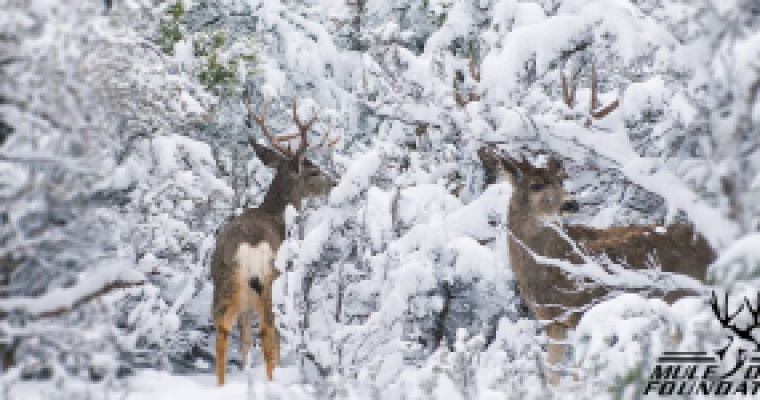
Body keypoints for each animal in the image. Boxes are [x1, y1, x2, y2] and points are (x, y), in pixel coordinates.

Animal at [211, 95, 338, 386]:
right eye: (313, 171)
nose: (336, 182)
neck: (276, 214)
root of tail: (249, 245)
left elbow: (245, 340)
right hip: (270, 282)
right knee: (268, 330)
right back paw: (273, 380)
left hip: (225, 281)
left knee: (224, 328)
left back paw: (222, 385)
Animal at [477, 150, 716, 384]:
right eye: (536, 185)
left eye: (561, 181)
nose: (571, 203)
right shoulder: (553, 322)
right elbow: (553, 376)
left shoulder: (581, 312)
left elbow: (577, 375)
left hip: (684, 296)